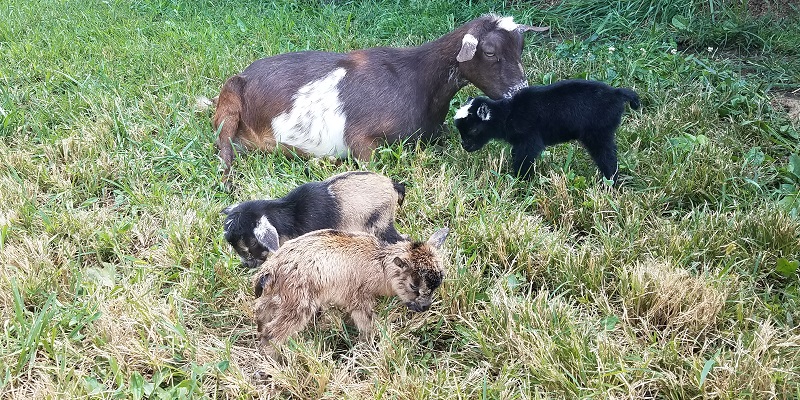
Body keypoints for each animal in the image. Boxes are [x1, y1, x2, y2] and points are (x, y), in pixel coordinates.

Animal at [210, 14, 548, 183]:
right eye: (489, 52)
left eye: (520, 47)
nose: (522, 93)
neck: (416, 79)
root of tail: (245, 75)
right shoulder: (360, 137)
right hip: (229, 100)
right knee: (225, 148)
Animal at [252, 228, 450, 355]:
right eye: (414, 286)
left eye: (437, 284)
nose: (425, 307)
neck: (379, 265)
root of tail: (271, 268)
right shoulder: (360, 298)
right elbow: (367, 325)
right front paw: (368, 348)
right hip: (299, 302)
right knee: (273, 332)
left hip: (277, 295)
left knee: (260, 310)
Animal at [453, 79, 640, 182]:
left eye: (473, 130)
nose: (464, 146)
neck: (508, 113)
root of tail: (617, 93)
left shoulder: (529, 140)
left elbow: (524, 159)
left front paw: (521, 179)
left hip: (598, 134)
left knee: (607, 157)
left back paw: (610, 181)